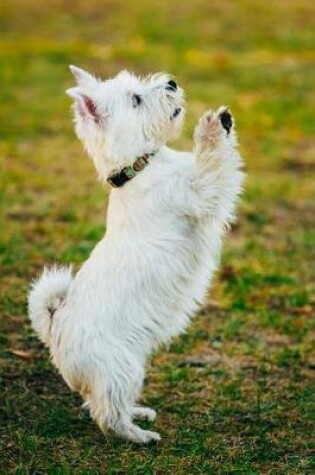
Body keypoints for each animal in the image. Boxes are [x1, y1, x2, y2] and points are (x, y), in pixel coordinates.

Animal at [28, 65, 246, 444]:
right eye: (136, 99)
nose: (171, 82)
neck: (139, 168)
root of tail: (53, 329)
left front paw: (225, 122)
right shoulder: (201, 194)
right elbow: (211, 163)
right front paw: (211, 126)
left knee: (98, 403)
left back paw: (140, 413)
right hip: (121, 368)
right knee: (106, 415)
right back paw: (140, 435)